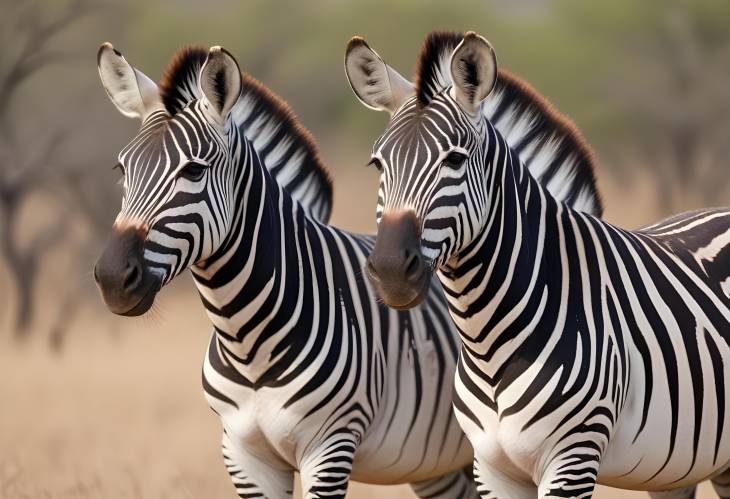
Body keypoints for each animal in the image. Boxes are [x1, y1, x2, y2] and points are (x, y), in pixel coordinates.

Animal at [91, 43, 478, 499]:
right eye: (122, 170)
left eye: (194, 170)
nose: (112, 278)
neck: (247, 345)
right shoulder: (243, 454)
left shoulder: (328, 447)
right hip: (438, 464)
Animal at [342, 30, 728, 496]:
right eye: (377, 164)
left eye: (454, 159)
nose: (391, 271)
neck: (487, 344)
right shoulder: (491, 467)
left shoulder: (573, 457)